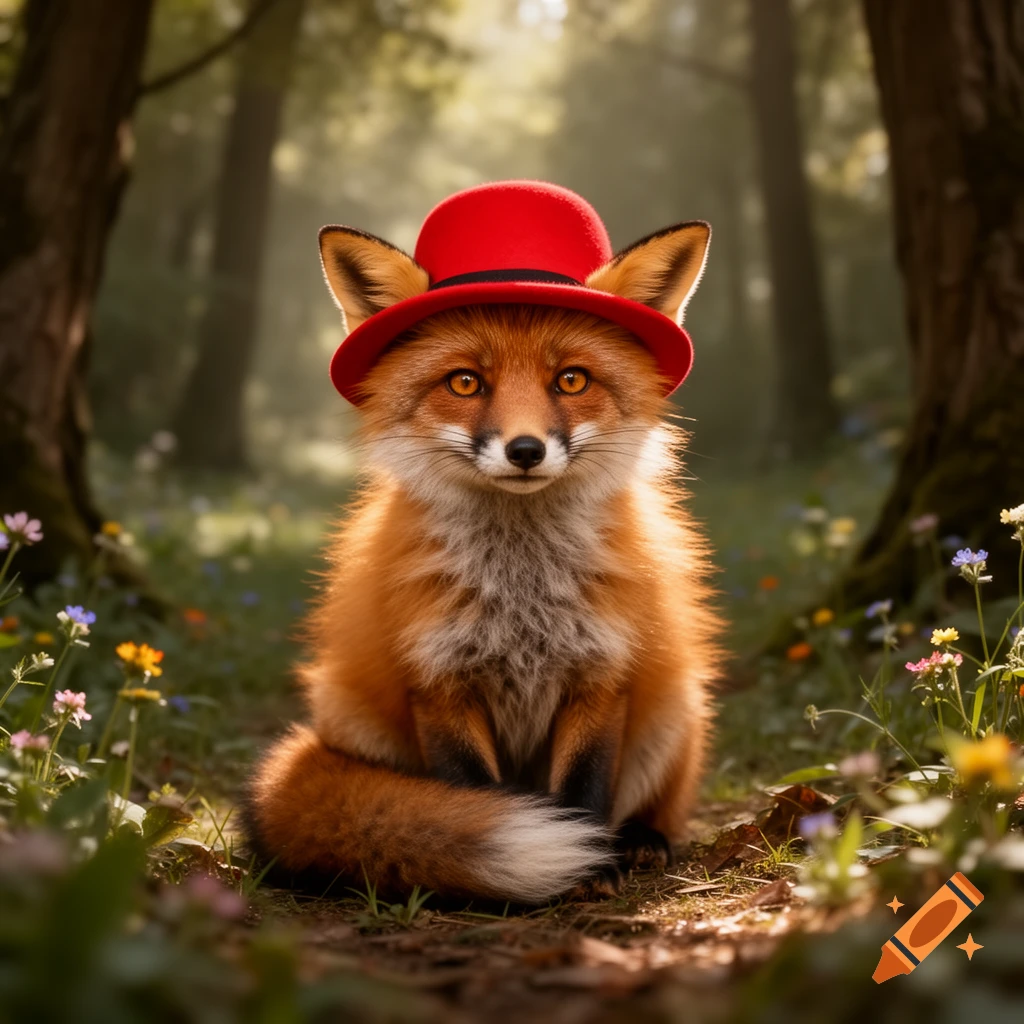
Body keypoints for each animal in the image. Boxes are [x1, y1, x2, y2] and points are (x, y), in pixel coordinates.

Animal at [244, 206, 723, 903]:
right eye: (466, 382)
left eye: (571, 379)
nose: (525, 450)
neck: (521, 592)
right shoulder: (440, 681)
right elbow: (471, 794)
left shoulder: (601, 675)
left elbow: (584, 790)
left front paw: (591, 863)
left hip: (673, 712)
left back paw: (640, 839)